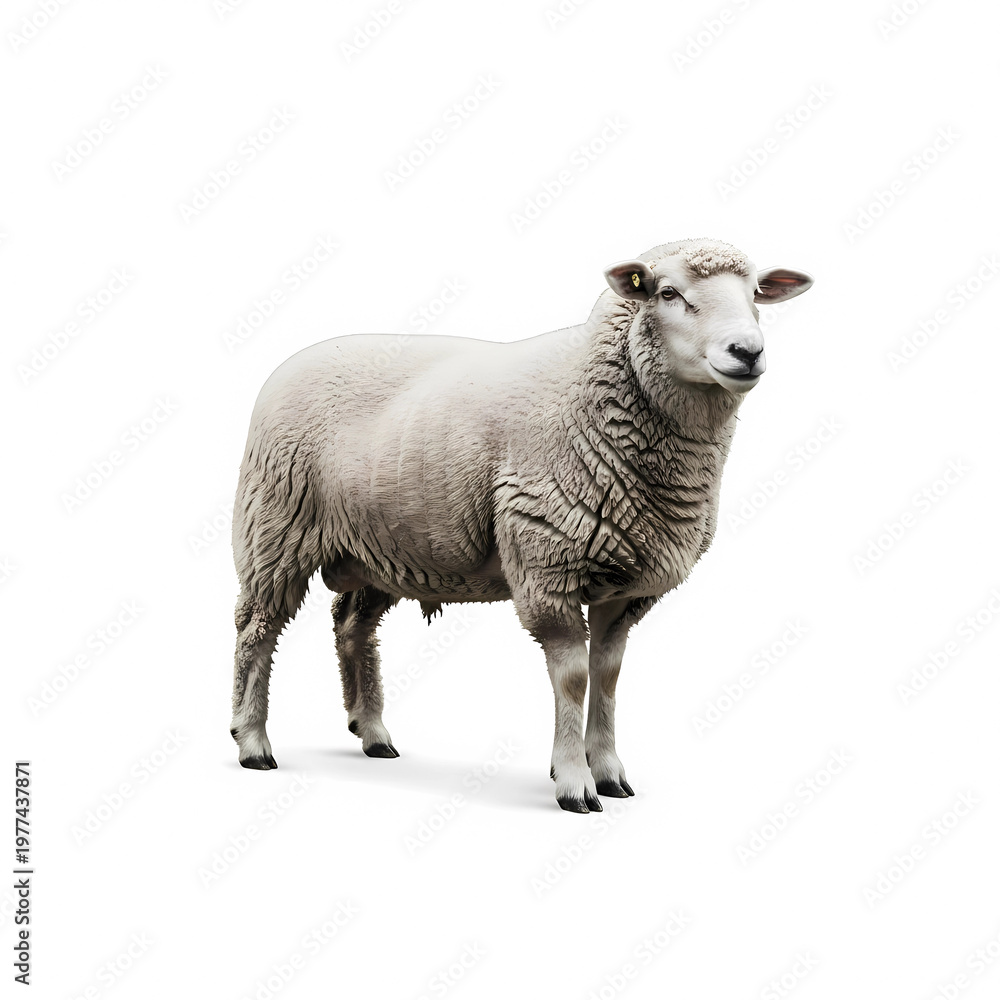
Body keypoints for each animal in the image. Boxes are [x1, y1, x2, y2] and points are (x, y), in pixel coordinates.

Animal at [229, 238, 813, 812]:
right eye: (668, 292)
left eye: (756, 293)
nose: (747, 351)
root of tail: (291, 362)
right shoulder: (546, 565)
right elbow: (573, 677)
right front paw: (574, 782)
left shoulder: (624, 588)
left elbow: (608, 677)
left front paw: (609, 772)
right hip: (275, 528)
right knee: (256, 630)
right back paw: (253, 742)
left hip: (382, 547)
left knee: (352, 626)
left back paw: (372, 732)